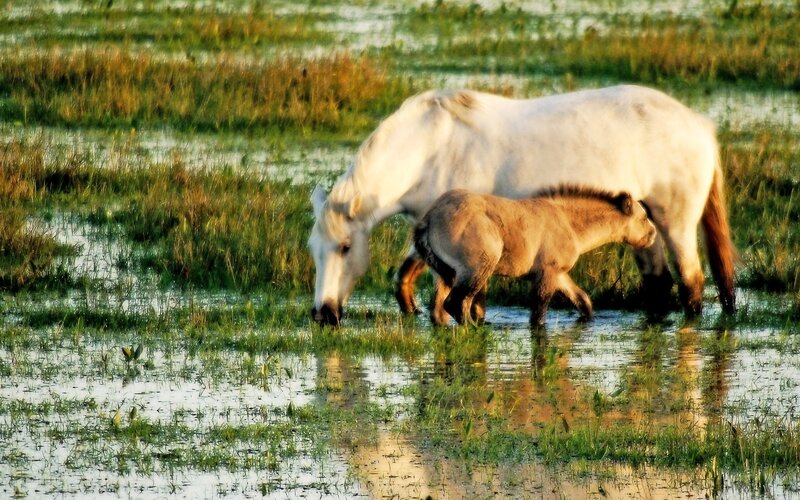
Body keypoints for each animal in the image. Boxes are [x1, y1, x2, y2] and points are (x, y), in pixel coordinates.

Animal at [413, 186, 658, 326]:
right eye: (644, 218)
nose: (653, 234)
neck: (569, 224)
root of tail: (429, 218)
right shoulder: (548, 272)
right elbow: (538, 313)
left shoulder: (559, 273)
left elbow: (582, 300)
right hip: (477, 267)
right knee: (456, 303)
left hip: (444, 272)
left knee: (437, 311)